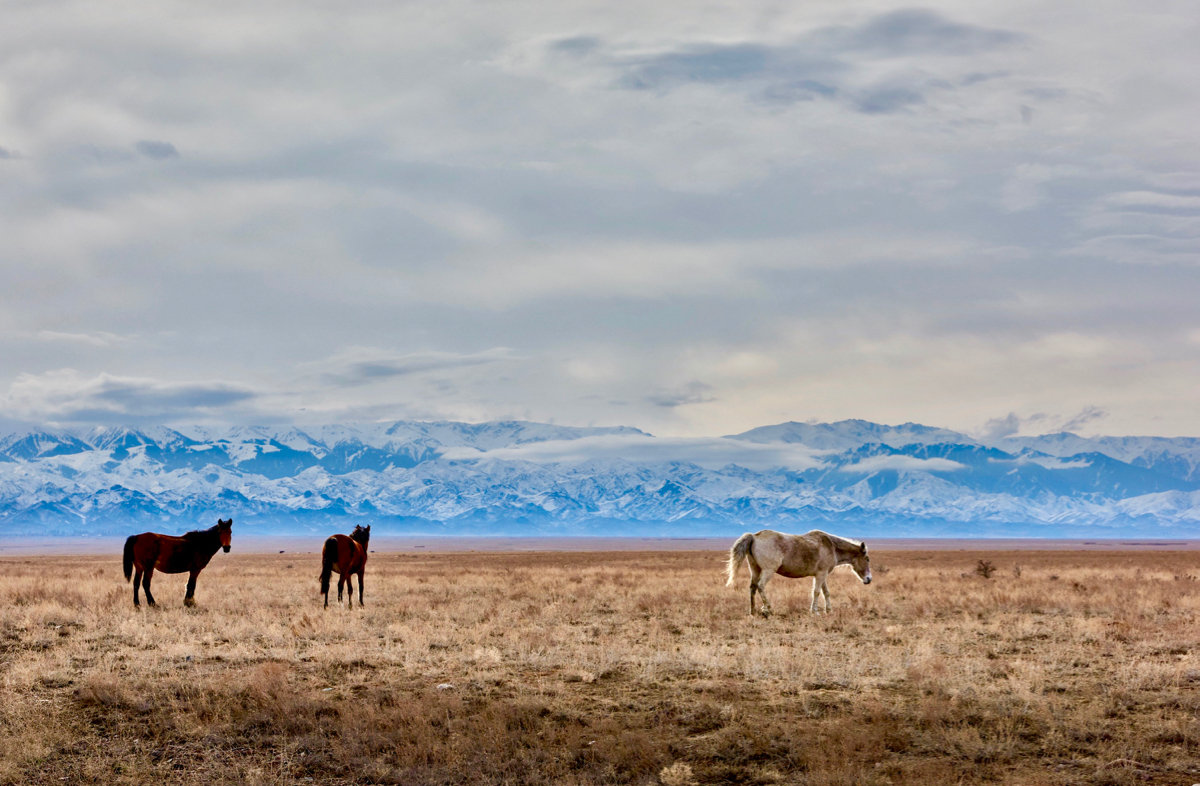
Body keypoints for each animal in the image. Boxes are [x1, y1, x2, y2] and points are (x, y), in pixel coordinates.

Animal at [720, 532, 873, 619]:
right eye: (867, 559)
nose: (869, 579)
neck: (832, 547)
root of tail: (754, 537)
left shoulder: (822, 575)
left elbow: (826, 592)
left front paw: (829, 610)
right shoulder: (820, 574)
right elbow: (817, 592)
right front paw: (815, 612)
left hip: (755, 570)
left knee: (752, 588)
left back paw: (753, 611)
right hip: (768, 570)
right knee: (760, 586)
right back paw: (768, 609)